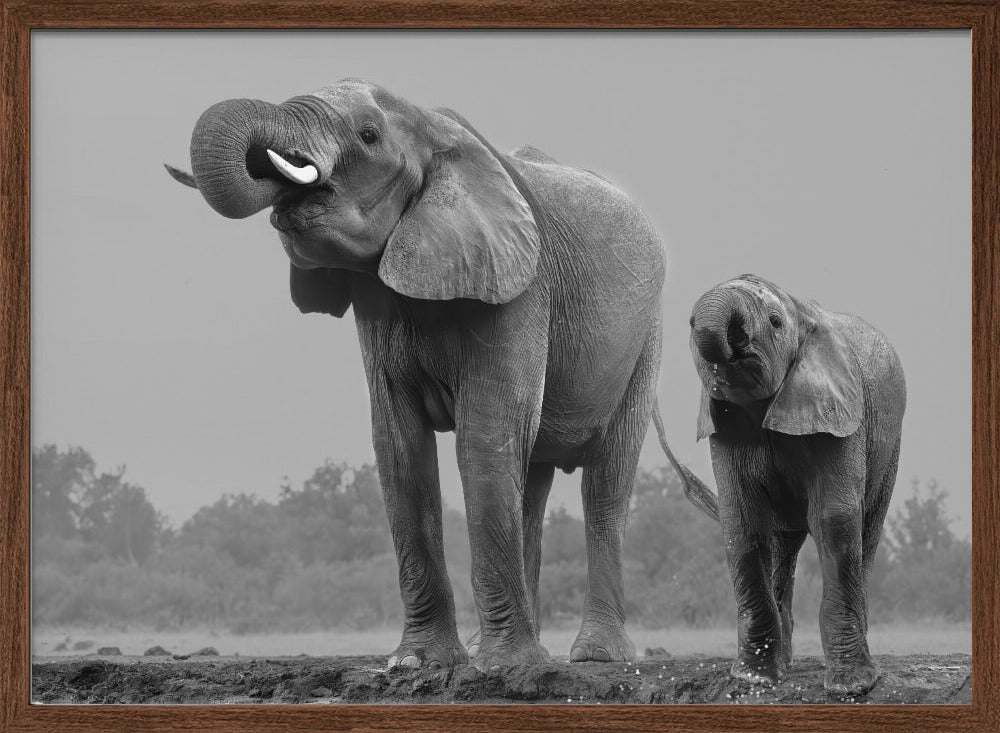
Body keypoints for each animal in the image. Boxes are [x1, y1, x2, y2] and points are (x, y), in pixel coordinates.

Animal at [167, 79, 717, 672]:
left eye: (368, 135)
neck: (434, 129)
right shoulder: (379, 302)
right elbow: (399, 446)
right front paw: (423, 663)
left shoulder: (520, 287)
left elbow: (485, 435)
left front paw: (503, 669)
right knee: (531, 481)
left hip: (645, 342)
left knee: (606, 483)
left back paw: (595, 656)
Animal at [688, 274, 906, 696]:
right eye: (689, 324)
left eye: (774, 322)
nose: (736, 339)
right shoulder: (725, 426)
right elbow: (743, 524)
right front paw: (754, 680)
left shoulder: (840, 415)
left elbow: (833, 520)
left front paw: (851, 688)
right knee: (781, 543)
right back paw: (784, 661)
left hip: (890, 447)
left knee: (867, 529)